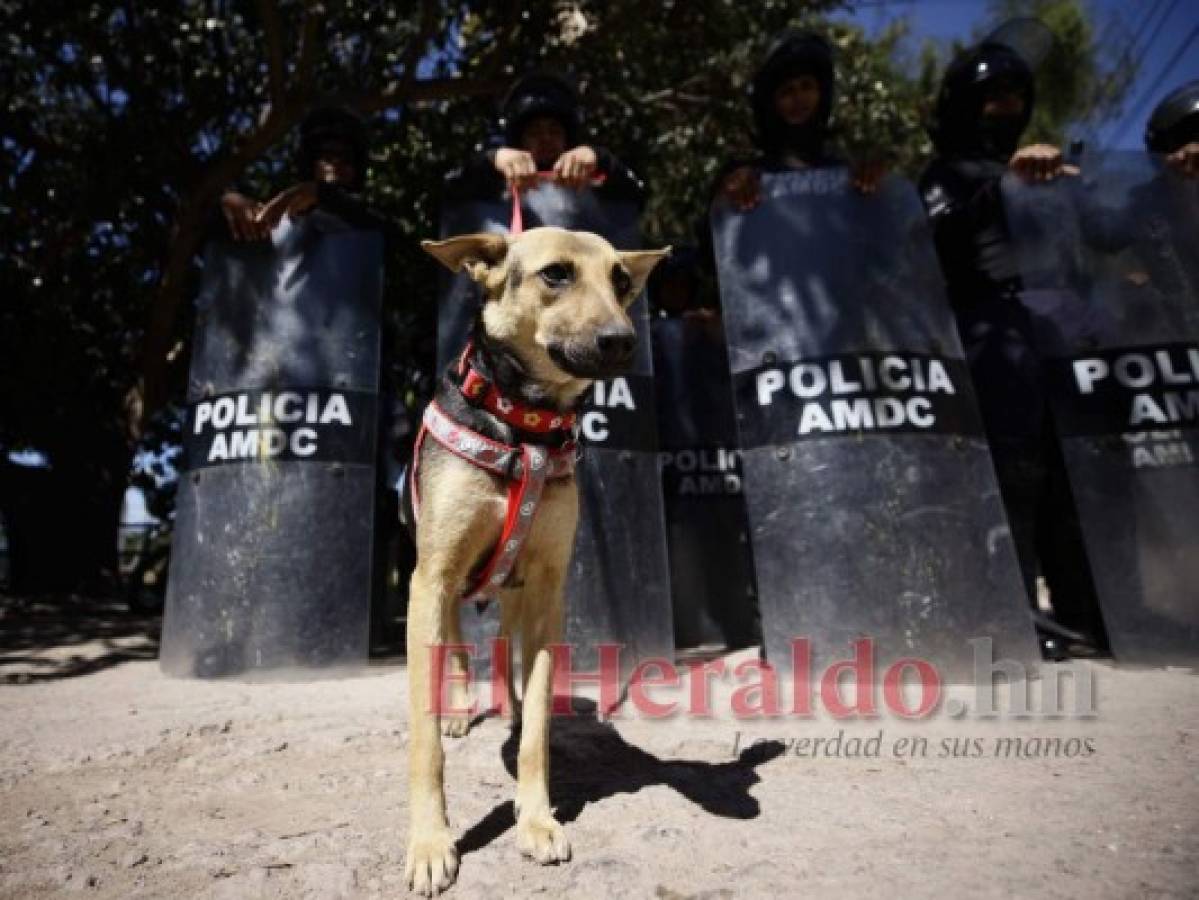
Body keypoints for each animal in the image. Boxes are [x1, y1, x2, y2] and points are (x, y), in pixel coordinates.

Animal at [400, 226, 666, 896]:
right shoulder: (430, 579)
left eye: (621, 280)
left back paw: (510, 709)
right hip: (447, 591)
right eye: (555, 274)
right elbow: (424, 738)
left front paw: (537, 818)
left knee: (505, 654)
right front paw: (430, 842)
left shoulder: (548, 588)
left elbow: (541, 727)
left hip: (516, 592)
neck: (524, 426)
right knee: (459, 651)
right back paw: (462, 712)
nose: (622, 340)